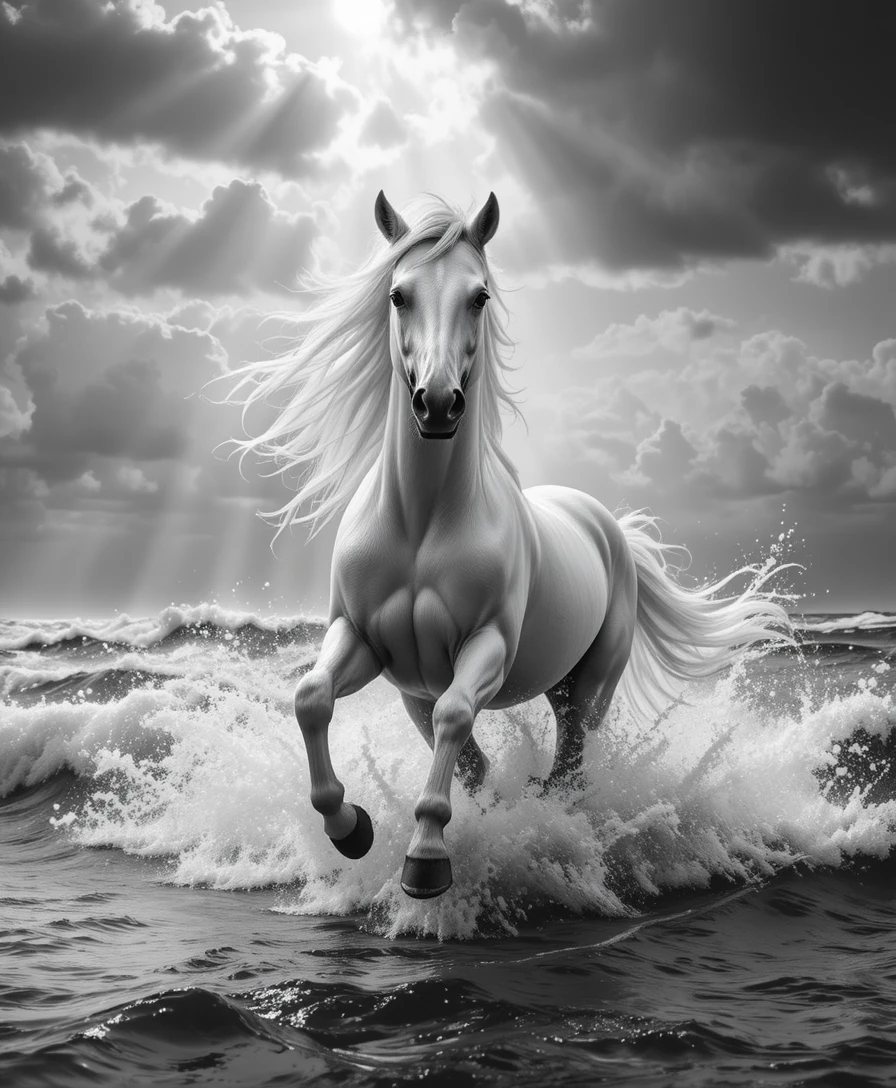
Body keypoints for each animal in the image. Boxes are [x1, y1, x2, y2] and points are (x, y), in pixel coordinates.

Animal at [225, 191, 791, 900]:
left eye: (480, 296)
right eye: (397, 295)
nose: (438, 404)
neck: (422, 524)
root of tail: (608, 527)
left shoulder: (487, 645)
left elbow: (455, 716)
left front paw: (427, 859)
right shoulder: (362, 640)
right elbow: (312, 698)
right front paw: (351, 827)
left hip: (591, 688)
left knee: (569, 762)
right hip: (471, 687)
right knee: (485, 760)